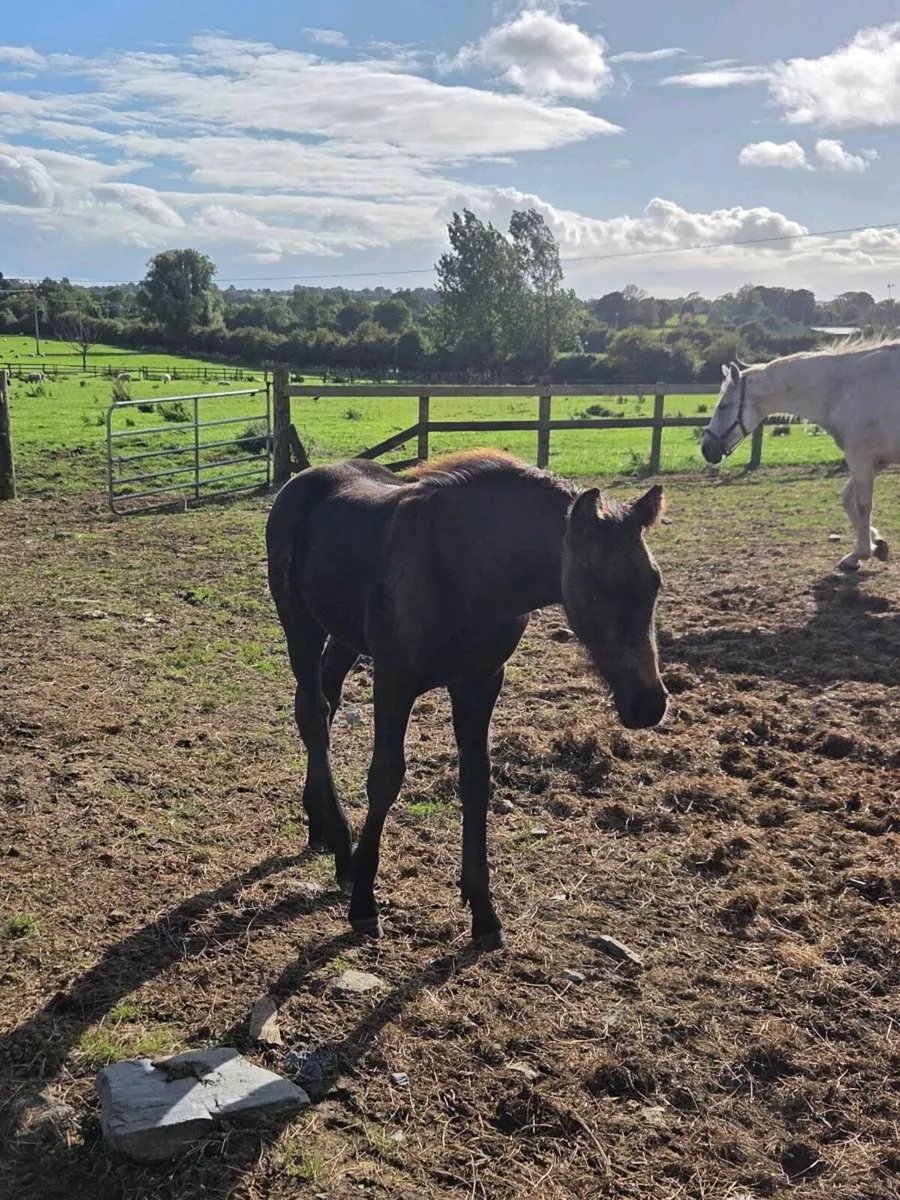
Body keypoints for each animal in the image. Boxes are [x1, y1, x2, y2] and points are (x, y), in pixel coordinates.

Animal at [266, 449, 668, 950]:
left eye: (654, 583)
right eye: (594, 588)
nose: (648, 704)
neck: (468, 571)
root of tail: (301, 480)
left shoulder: (480, 682)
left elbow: (477, 781)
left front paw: (484, 913)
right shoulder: (394, 681)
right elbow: (384, 779)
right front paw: (363, 904)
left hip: (344, 636)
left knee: (327, 700)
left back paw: (321, 824)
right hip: (299, 624)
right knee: (312, 716)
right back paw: (342, 847)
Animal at [700, 339, 900, 571]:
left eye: (723, 406)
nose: (706, 449)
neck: (843, 388)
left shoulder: (860, 457)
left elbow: (863, 505)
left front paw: (859, 553)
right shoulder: (878, 461)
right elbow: (847, 499)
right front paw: (877, 545)